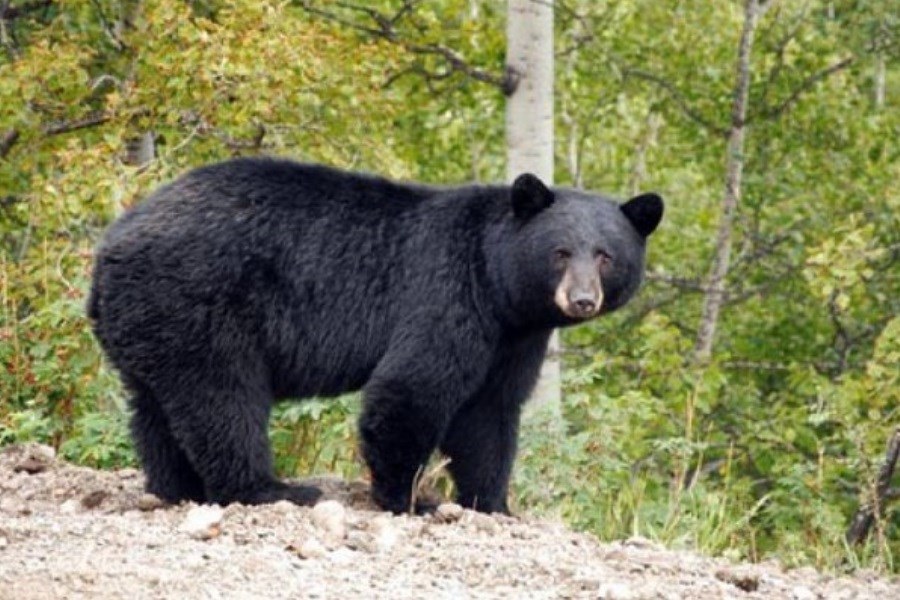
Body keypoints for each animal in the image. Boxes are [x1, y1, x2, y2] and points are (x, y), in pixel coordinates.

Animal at [88, 157, 664, 512]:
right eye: (561, 252)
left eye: (606, 255)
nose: (582, 299)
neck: (497, 284)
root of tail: (110, 247)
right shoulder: (446, 295)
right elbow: (411, 389)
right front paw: (410, 498)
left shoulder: (514, 338)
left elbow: (489, 413)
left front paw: (492, 503)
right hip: (200, 304)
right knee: (222, 399)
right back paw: (270, 488)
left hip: (149, 321)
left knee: (155, 409)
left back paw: (176, 487)